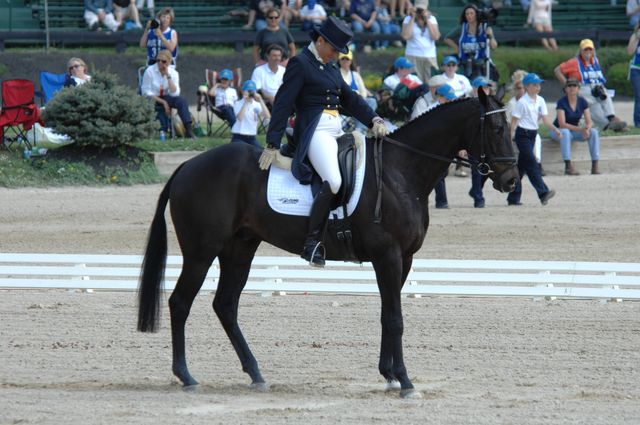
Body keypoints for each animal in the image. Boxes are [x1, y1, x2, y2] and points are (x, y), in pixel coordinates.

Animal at [138, 89, 516, 398]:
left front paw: (389, 375)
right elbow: (395, 318)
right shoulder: (388, 255)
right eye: (497, 130)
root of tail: (188, 165)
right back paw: (186, 376)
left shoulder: (403, 259)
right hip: (201, 253)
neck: (401, 173)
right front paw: (406, 382)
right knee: (180, 303)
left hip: (240, 249)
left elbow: (386, 314)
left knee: (226, 305)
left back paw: (256, 374)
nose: (512, 180)